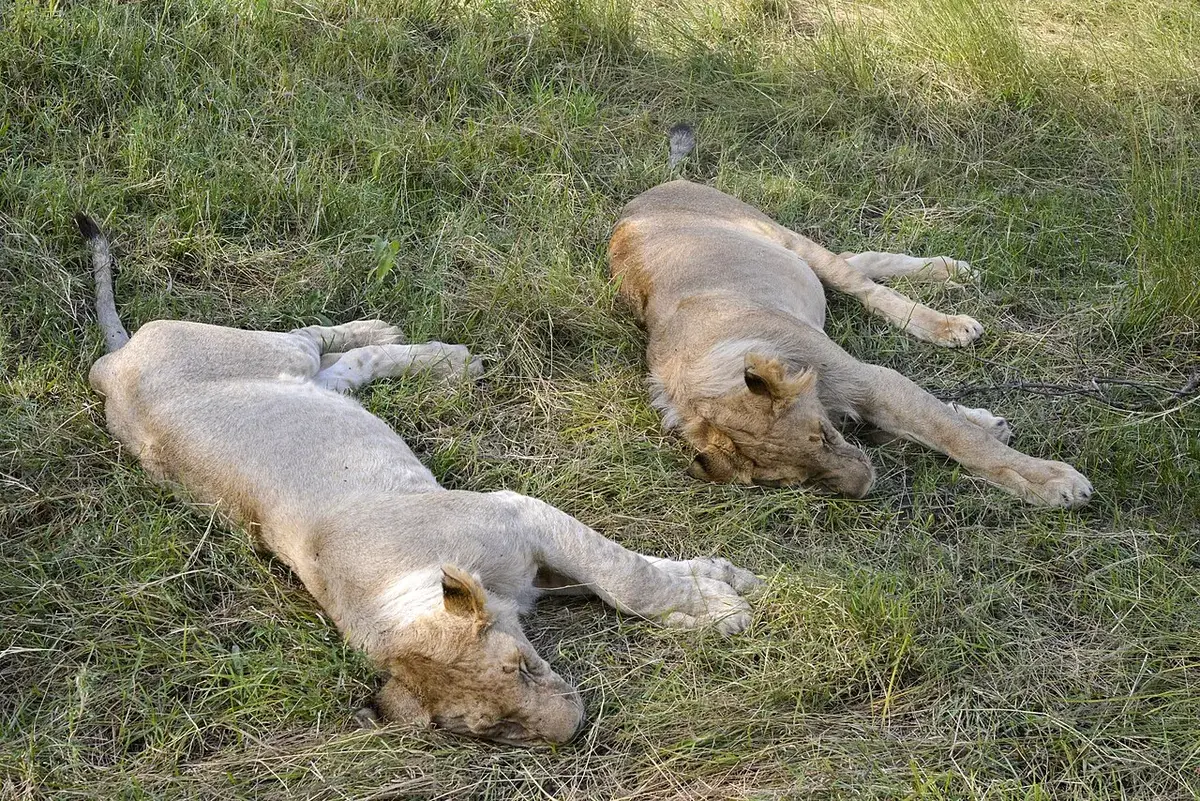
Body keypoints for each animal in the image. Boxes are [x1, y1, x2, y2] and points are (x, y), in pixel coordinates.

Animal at [77, 213, 760, 747]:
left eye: (522, 667)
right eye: (497, 730)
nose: (571, 733)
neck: (399, 597)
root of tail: (110, 365)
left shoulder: (520, 513)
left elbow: (627, 578)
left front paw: (720, 597)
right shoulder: (530, 562)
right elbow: (623, 579)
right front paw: (713, 597)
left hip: (263, 352)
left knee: (311, 339)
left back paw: (413, 343)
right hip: (291, 380)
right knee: (344, 367)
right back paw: (435, 357)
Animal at [607, 126, 1092, 508]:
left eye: (821, 436)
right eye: (799, 480)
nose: (864, 486)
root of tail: (651, 191)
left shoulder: (871, 378)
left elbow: (958, 437)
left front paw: (1054, 481)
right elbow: (937, 425)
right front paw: (988, 423)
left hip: (782, 236)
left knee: (865, 286)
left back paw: (949, 316)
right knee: (859, 261)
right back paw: (951, 274)